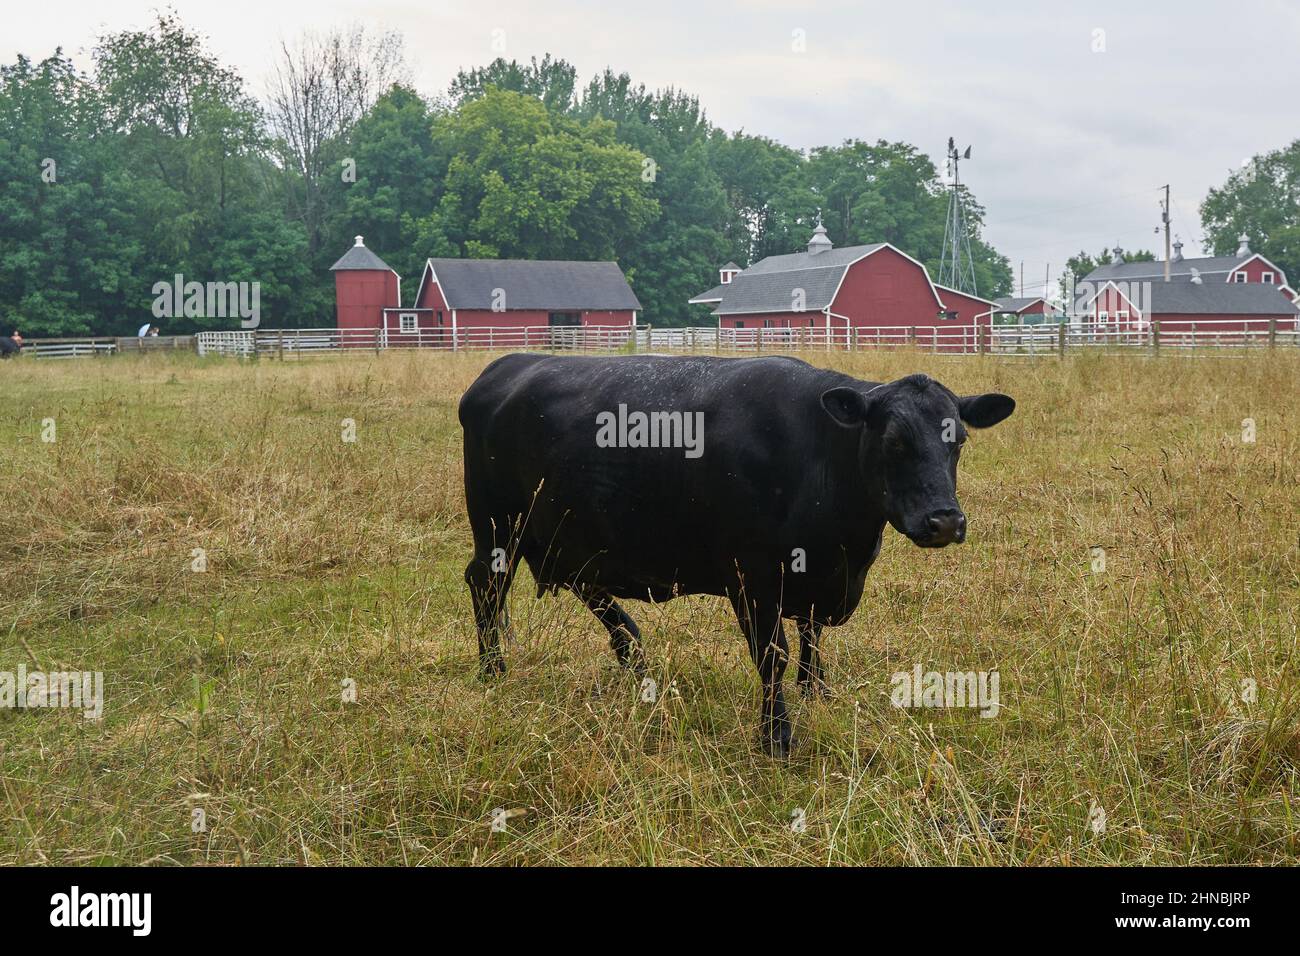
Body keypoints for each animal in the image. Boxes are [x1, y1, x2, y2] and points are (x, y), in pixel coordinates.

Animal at [459, 354, 1014, 757]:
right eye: (895, 442)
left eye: (959, 440)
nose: (945, 521)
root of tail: (505, 367)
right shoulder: (753, 576)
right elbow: (773, 655)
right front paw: (776, 738)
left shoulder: (815, 576)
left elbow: (811, 636)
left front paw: (817, 693)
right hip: (498, 526)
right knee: (487, 585)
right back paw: (493, 670)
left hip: (566, 534)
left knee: (587, 586)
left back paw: (633, 655)